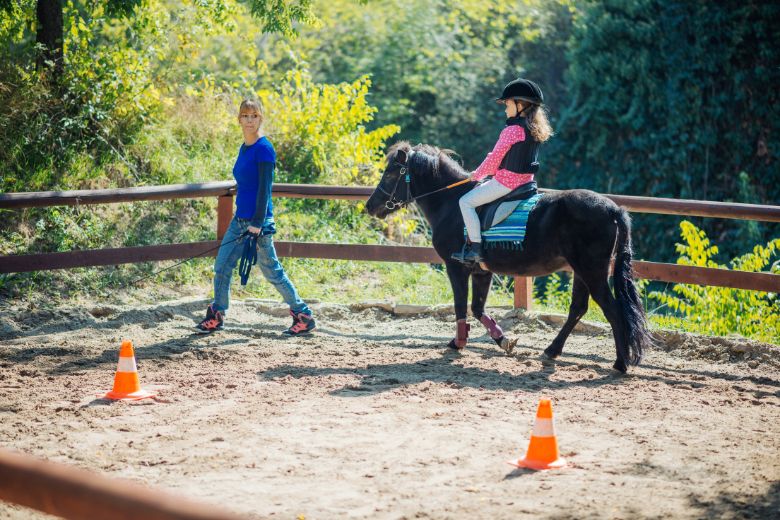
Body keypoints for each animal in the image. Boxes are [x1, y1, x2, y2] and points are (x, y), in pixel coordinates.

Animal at [366, 140, 652, 372]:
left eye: (391, 173)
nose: (370, 206)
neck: (450, 203)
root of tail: (614, 208)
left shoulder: (455, 267)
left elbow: (460, 306)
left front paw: (458, 343)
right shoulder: (481, 271)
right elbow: (477, 308)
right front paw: (503, 341)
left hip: (592, 272)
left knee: (612, 311)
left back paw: (621, 363)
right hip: (581, 272)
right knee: (578, 309)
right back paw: (552, 351)